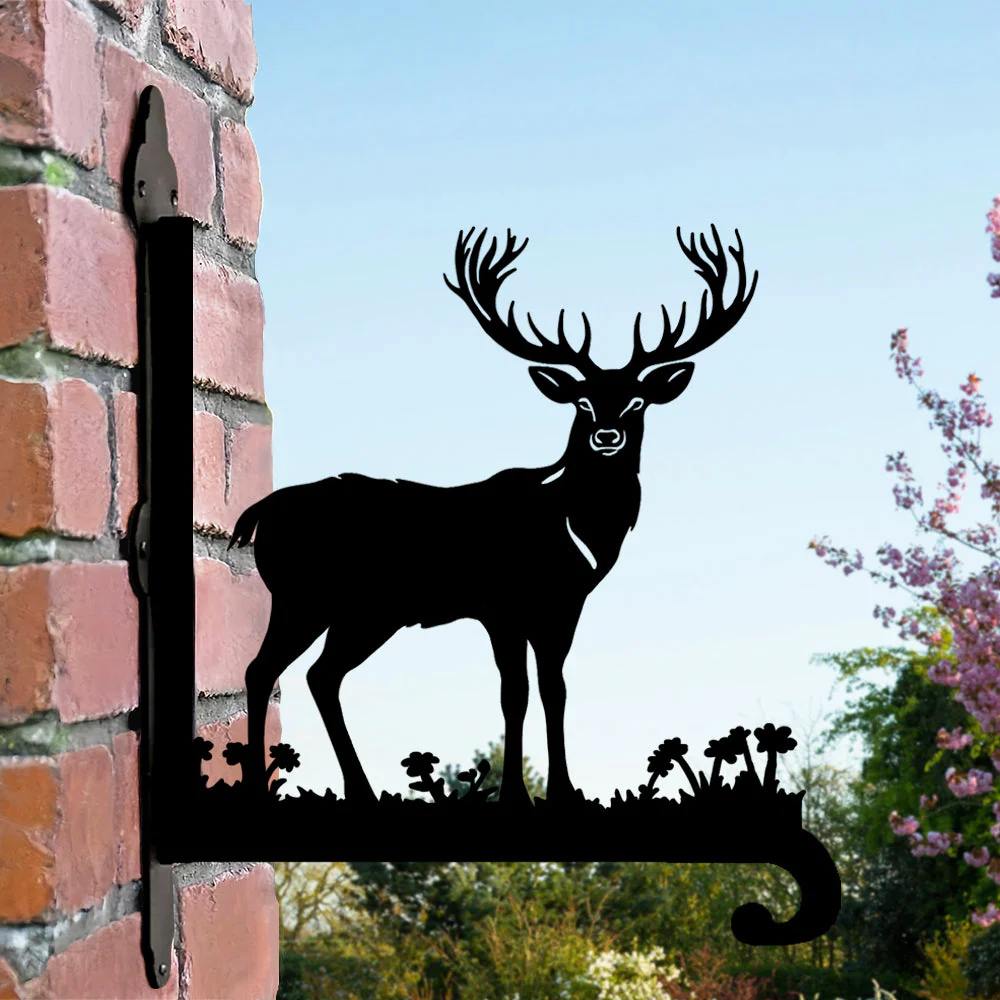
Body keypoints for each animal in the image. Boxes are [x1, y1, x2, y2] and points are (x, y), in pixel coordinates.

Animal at [229, 225, 757, 805]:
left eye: (637, 401)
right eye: (582, 402)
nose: (607, 435)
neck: (573, 529)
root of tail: (259, 510)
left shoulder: (562, 606)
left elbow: (555, 688)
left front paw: (563, 791)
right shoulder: (502, 603)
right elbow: (514, 691)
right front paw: (516, 795)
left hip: (363, 612)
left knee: (319, 675)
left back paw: (359, 790)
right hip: (309, 597)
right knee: (264, 669)